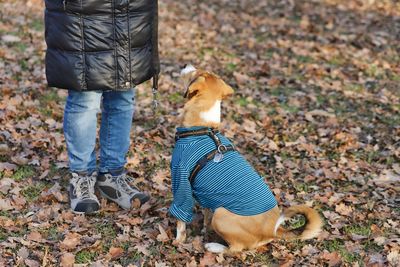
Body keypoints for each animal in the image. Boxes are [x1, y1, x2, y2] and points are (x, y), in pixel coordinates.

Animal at [168, 64, 322, 253]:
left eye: (195, 73)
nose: (185, 65)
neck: (203, 128)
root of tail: (272, 230)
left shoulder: (181, 180)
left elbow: (181, 221)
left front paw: (178, 241)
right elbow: (206, 215)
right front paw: (204, 230)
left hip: (221, 215)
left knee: (235, 249)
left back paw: (214, 246)